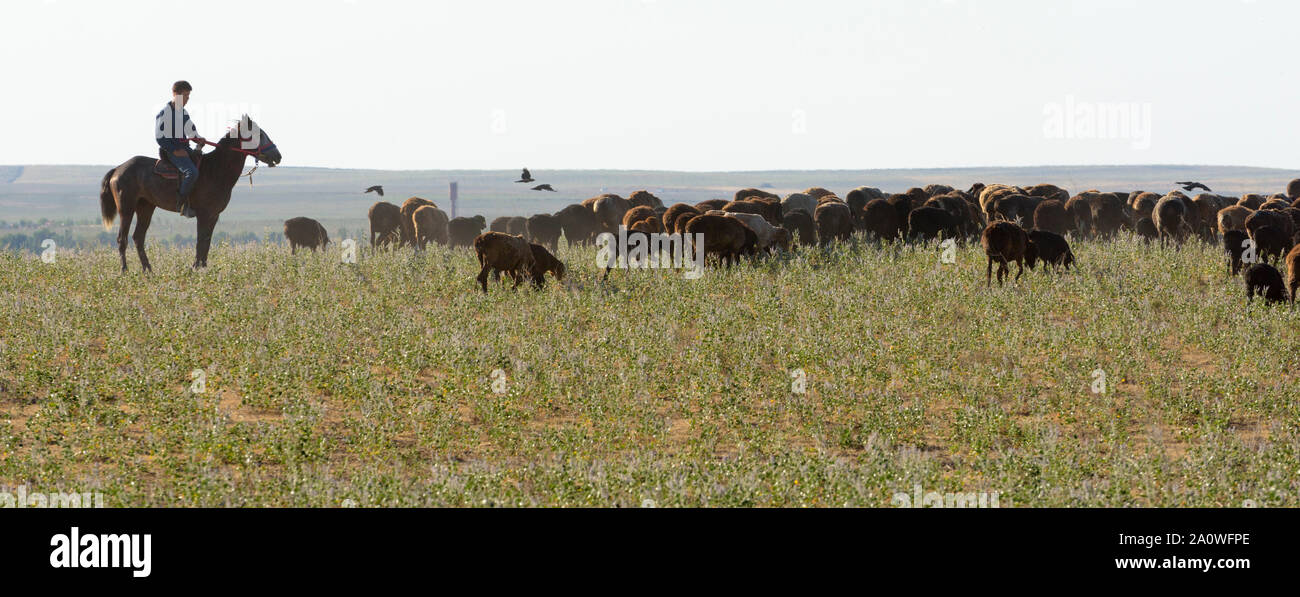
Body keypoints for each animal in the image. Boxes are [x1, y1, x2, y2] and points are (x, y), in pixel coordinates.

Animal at [96, 117, 282, 270]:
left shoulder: (213, 215)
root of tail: (117, 170)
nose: (278, 156)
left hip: (146, 207)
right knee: (122, 239)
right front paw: (196, 268)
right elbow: (200, 242)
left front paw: (203, 268)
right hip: (126, 209)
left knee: (138, 238)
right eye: (258, 134)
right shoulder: (204, 214)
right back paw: (124, 271)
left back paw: (148, 270)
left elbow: (206, 242)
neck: (216, 170)